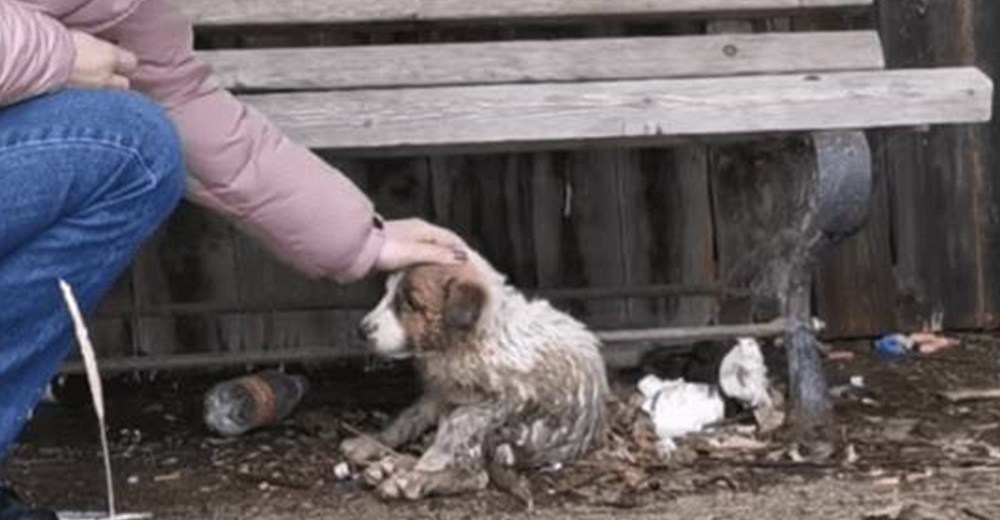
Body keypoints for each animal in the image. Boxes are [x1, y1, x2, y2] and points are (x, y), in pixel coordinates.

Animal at [342, 252, 608, 500]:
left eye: (410, 303)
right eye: (387, 292)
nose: (361, 330)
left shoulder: (505, 398)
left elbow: (451, 439)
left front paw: (415, 474)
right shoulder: (440, 393)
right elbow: (408, 418)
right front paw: (369, 442)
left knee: (474, 474)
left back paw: (409, 479)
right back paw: (391, 466)